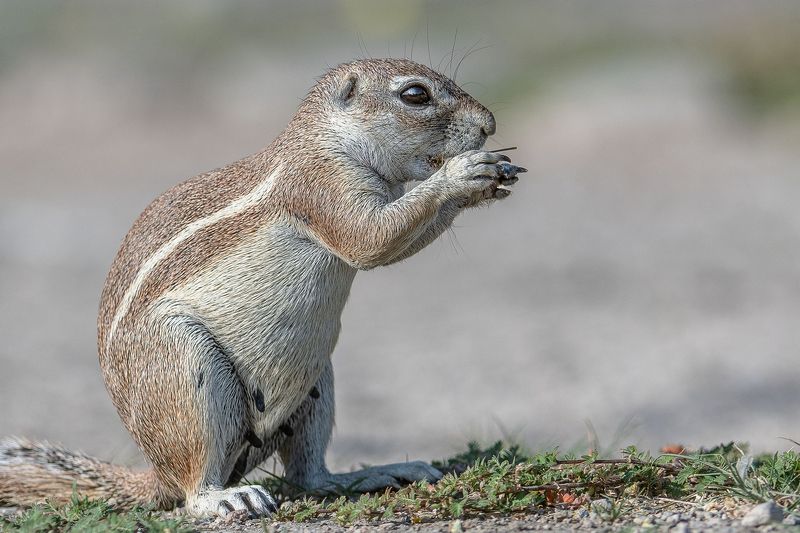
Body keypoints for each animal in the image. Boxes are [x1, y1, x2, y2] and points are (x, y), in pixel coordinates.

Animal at [0, 58, 524, 518]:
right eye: (415, 94)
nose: (490, 124)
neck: (326, 138)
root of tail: (156, 475)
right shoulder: (321, 186)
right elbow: (370, 240)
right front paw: (465, 174)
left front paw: (494, 177)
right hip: (186, 369)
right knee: (195, 488)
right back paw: (228, 499)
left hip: (317, 383)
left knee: (310, 477)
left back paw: (381, 472)